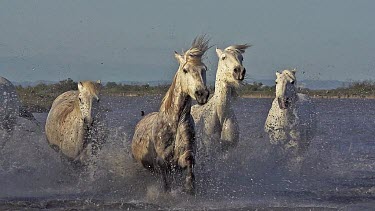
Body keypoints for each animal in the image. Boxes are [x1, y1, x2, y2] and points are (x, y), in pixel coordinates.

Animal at [131, 35, 210, 195]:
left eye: (204, 69)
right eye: (185, 70)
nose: (202, 94)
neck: (174, 122)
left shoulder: (183, 157)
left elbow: (189, 160)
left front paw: (189, 187)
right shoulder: (163, 163)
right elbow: (166, 184)